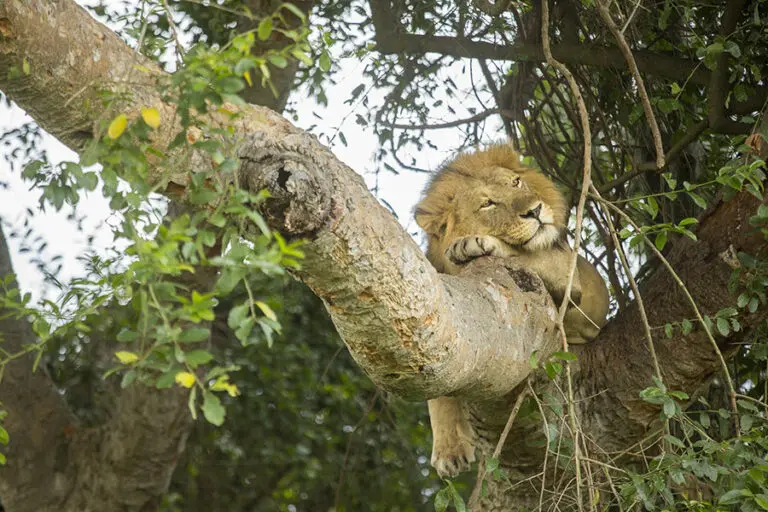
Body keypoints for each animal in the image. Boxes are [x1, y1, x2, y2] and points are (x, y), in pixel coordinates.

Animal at [414, 144, 610, 478]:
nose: (535, 210)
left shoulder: (566, 272)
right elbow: (437, 391)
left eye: (515, 183)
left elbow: (525, 253)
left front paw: (473, 243)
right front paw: (449, 450)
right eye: (488, 204)